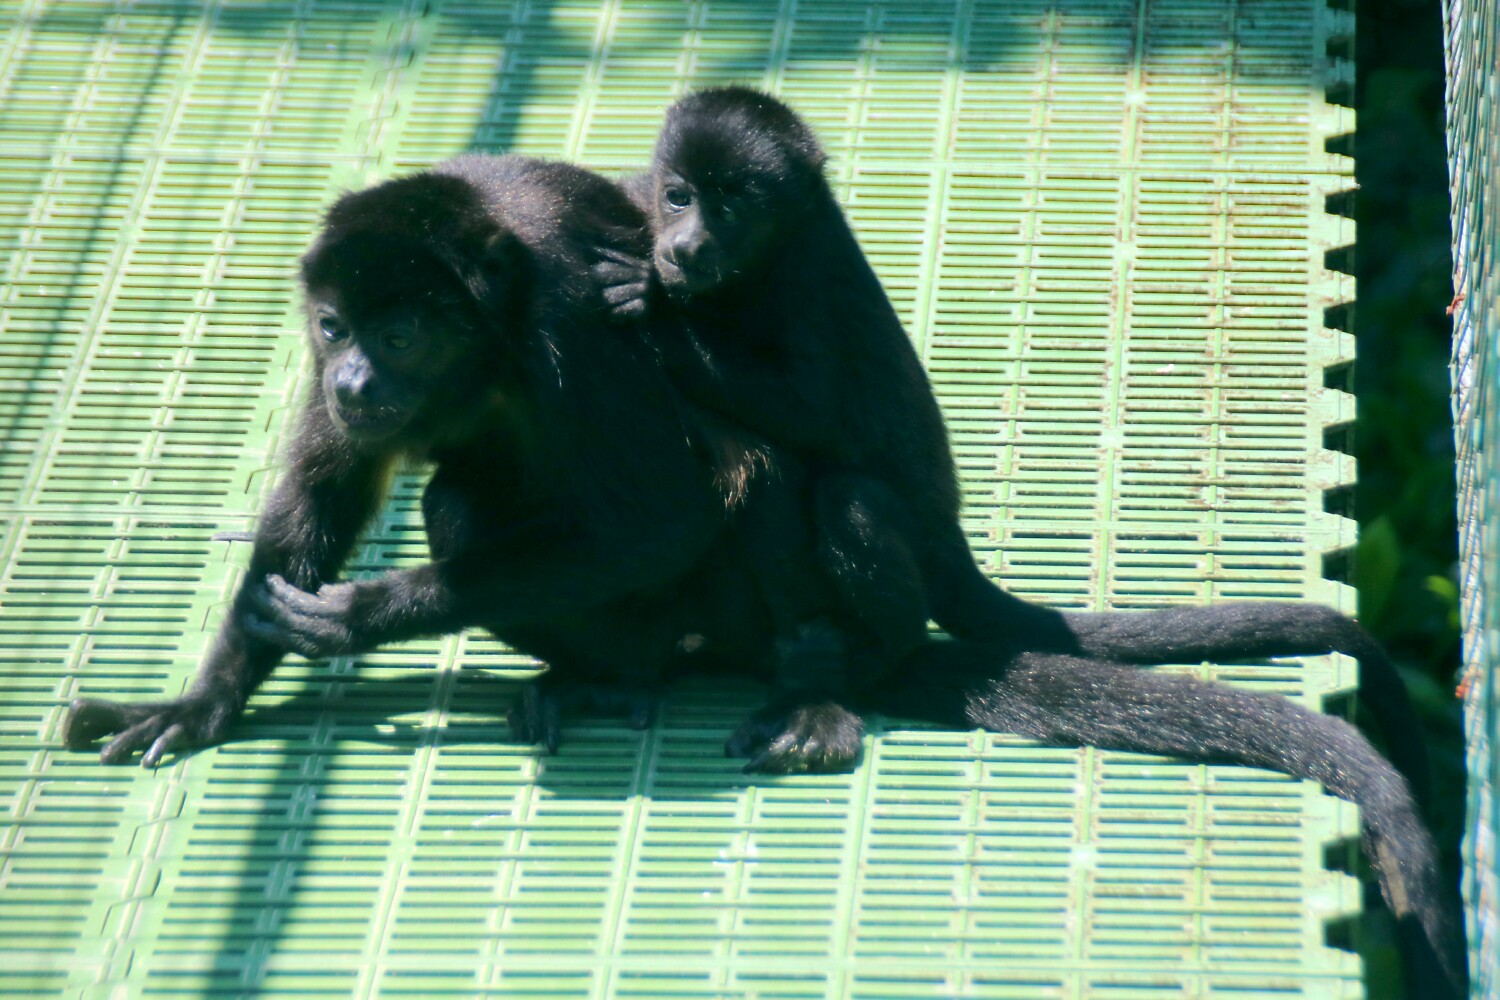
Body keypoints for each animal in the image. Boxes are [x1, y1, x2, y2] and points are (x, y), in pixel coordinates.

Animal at [595, 86, 1431, 797]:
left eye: (734, 206)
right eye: (679, 195)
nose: (688, 243)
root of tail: (952, 541)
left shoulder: (807, 276)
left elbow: (811, 407)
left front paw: (660, 315)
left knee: (850, 498)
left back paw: (868, 655)